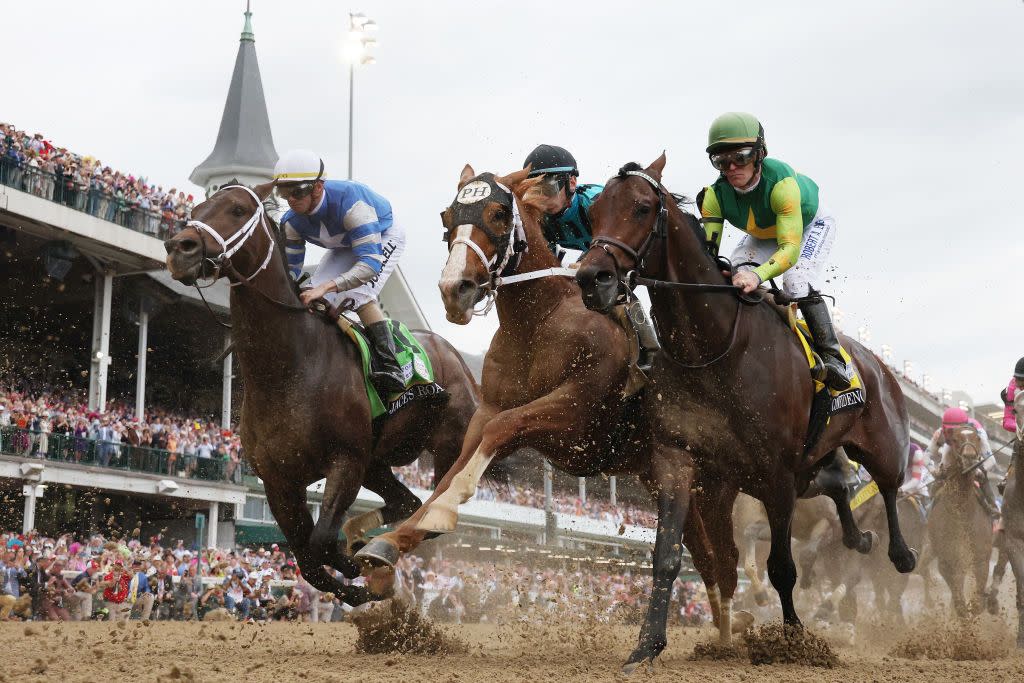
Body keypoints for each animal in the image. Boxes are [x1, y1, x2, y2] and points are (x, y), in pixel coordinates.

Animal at [356, 166, 724, 671]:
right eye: (449, 216)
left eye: (496, 213)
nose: (454, 290)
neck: (540, 323)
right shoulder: (487, 411)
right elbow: (454, 468)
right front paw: (389, 544)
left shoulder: (575, 415)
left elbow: (501, 431)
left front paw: (442, 513)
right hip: (661, 475)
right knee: (705, 552)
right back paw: (728, 632)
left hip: (696, 479)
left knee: (719, 556)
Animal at [577, 152, 921, 634]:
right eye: (591, 213)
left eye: (642, 208)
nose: (593, 278)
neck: (716, 347)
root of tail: (877, 365)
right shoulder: (695, 465)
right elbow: (688, 557)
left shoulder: (777, 474)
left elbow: (782, 567)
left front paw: (793, 635)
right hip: (809, 464)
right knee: (837, 485)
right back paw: (858, 537)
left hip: (882, 446)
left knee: (888, 489)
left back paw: (900, 552)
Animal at [933, 428, 995, 614]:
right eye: (955, 440)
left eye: (978, 438)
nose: (969, 456)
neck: (962, 516)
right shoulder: (947, 562)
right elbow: (959, 602)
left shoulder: (981, 558)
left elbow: (976, 603)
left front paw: (977, 605)